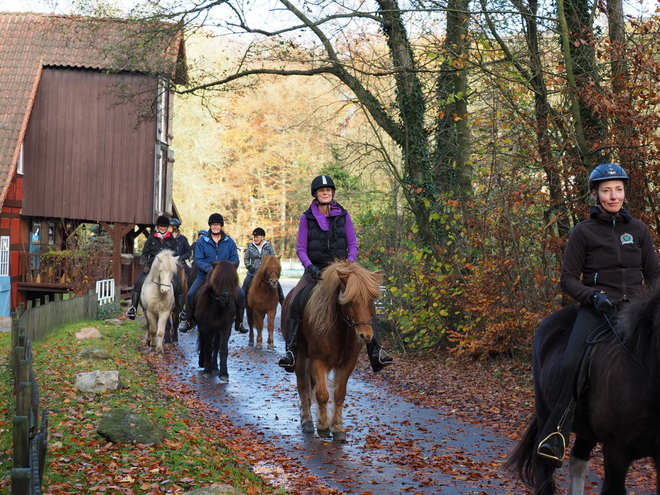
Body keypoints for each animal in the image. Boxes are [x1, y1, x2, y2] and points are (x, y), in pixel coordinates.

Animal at [282, 260, 384, 442]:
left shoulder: (347, 363)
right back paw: (307, 421)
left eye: (371, 300)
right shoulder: (318, 360)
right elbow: (322, 394)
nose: (366, 335)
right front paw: (323, 427)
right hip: (300, 357)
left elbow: (339, 394)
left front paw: (337, 428)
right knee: (303, 387)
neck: (340, 327)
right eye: (350, 301)